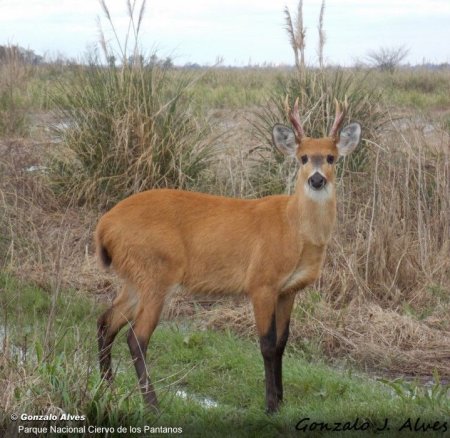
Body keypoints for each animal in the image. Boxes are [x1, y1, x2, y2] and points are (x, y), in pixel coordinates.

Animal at [96, 97, 362, 412]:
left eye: (331, 158)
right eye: (303, 157)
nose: (317, 180)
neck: (294, 230)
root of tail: (104, 226)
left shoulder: (288, 290)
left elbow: (282, 342)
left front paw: (281, 399)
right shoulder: (261, 282)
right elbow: (267, 343)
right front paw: (270, 405)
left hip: (135, 277)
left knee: (106, 322)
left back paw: (108, 389)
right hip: (155, 272)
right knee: (136, 337)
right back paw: (152, 405)